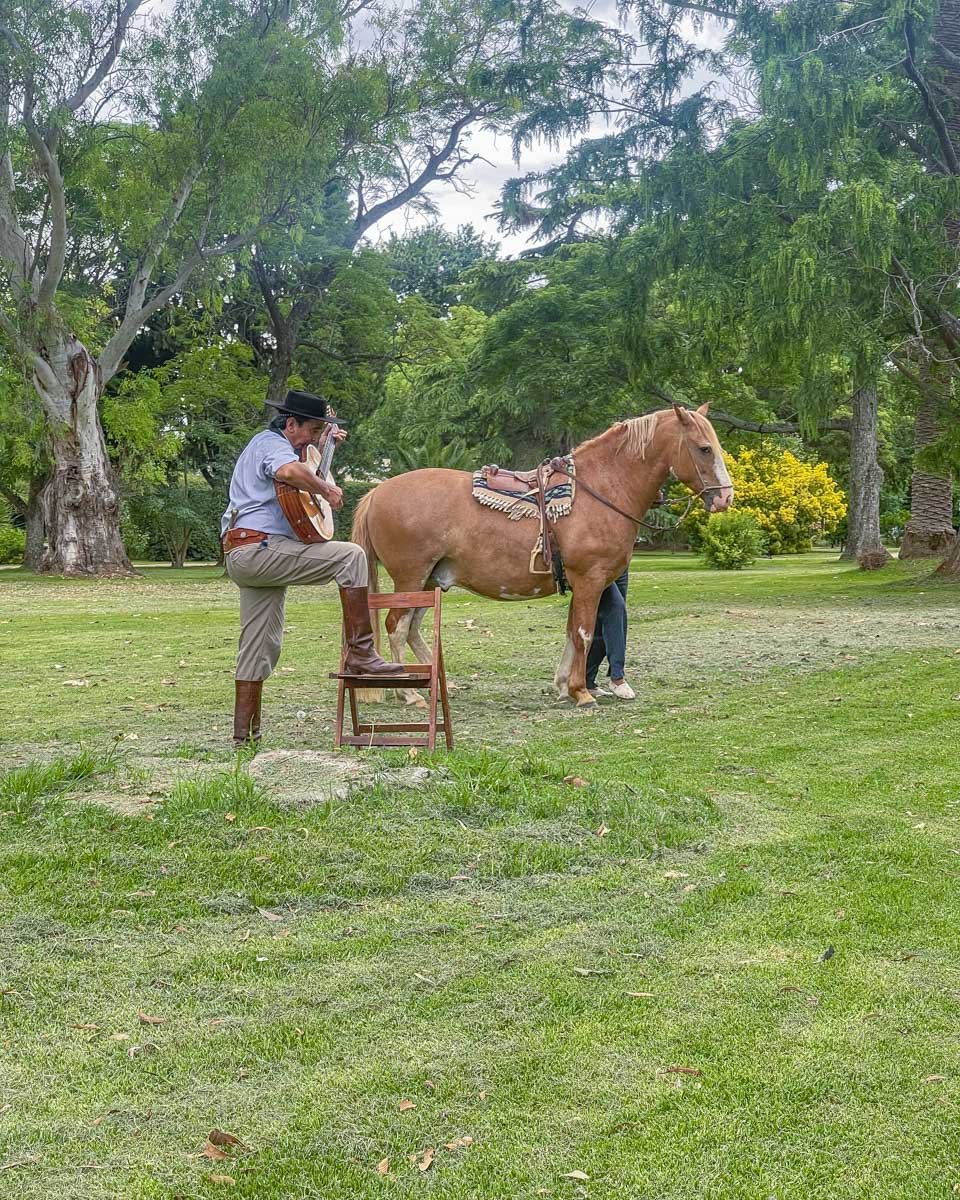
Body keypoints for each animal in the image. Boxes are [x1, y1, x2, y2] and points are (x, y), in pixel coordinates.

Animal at [351, 404, 733, 708]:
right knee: (396, 627)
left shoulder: (583, 583)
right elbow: (584, 633)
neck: (602, 490)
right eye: (703, 448)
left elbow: (571, 631)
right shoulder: (590, 579)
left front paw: (564, 686)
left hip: (428, 581)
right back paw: (409, 693)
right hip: (410, 577)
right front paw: (582, 692)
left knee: (412, 629)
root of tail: (377, 492)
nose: (725, 497)